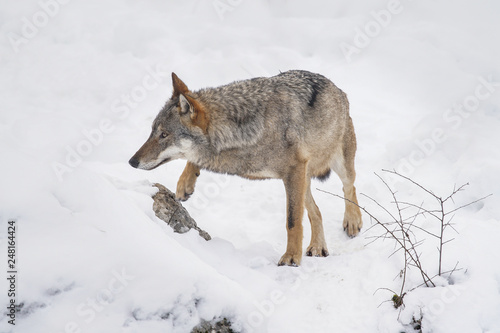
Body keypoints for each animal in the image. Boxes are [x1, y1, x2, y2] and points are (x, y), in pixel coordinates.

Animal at [129, 69, 364, 264]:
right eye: (152, 131)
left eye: (164, 135)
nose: (132, 161)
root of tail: (338, 89)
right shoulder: (290, 176)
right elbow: (195, 159)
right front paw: (185, 184)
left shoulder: (293, 171)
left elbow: (292, 222)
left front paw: (291, 258)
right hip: (303, 181)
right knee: (316, 211)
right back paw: (317, 246)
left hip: (334, 166)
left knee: (349, 187)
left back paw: (352, 222)